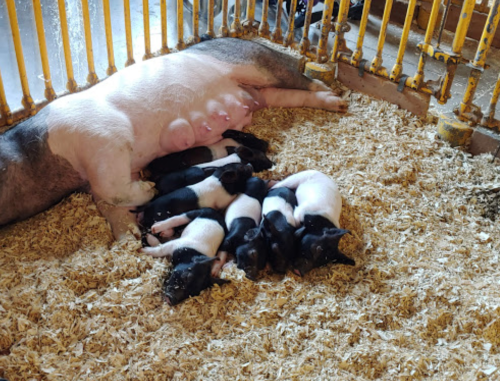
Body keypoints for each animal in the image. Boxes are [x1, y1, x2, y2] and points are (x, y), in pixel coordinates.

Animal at [0, 36, 346, 238]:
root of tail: (253, 40)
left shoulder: (106, 138)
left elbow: (113, 189)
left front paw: (149, 189)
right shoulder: (102, 175)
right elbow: (106, 201)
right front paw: (129, 237)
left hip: (255, 64)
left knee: (301, 78)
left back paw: (337, 98)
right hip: (264, 93)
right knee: (287, 95)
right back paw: (334, 103)